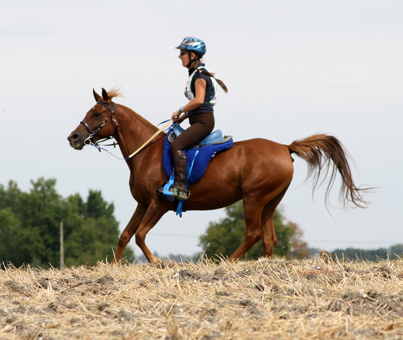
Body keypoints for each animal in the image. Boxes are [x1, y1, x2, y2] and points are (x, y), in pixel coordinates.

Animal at [68, 87, 370, 262]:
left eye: (97, 114)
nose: (73, 137)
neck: (147, 152)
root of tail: (285, 148)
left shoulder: (158, 204)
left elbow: (140, 235)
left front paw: (158, 263)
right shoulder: (142, 203)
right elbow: (125, 235)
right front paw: (115, 267)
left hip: (253, 199)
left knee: (253, 234)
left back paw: (228, 262)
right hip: (270, 202)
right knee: (269, 239)